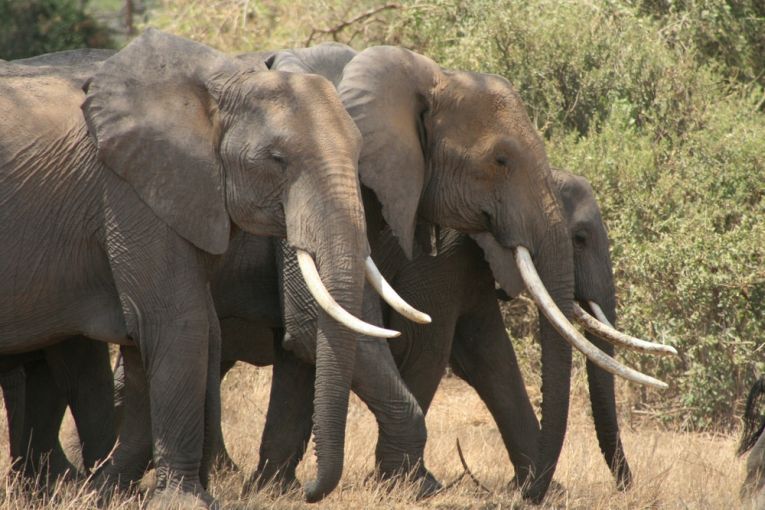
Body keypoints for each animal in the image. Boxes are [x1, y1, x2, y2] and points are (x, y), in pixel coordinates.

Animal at [0, 29, 404, 507]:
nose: (308, 491)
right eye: (277, 159)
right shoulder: (130, 190)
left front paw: (110, 490)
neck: (220, 84)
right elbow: (176, 322)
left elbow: (184, 331)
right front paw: (179, 500)